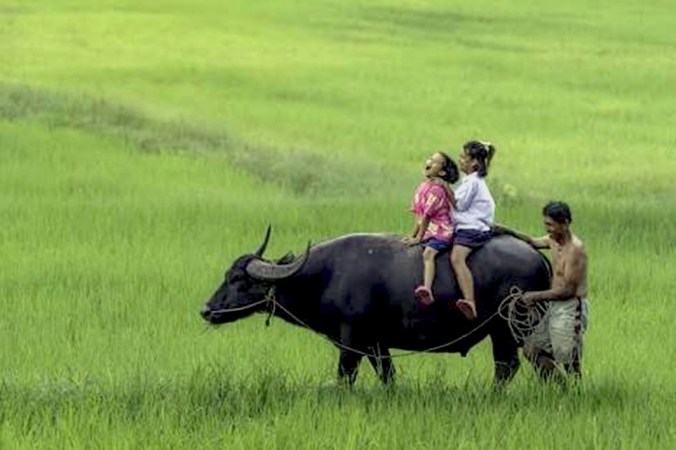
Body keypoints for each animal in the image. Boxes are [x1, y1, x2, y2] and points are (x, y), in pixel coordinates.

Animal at [199, 229, 548, 386]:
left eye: (239, 280)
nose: (206, 309)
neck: (323, 275)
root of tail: (536, 255)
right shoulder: (376, 343)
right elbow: (387, 375)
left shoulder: (351, 339)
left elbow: (345, 376)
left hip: (509, 330)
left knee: (513, 366)